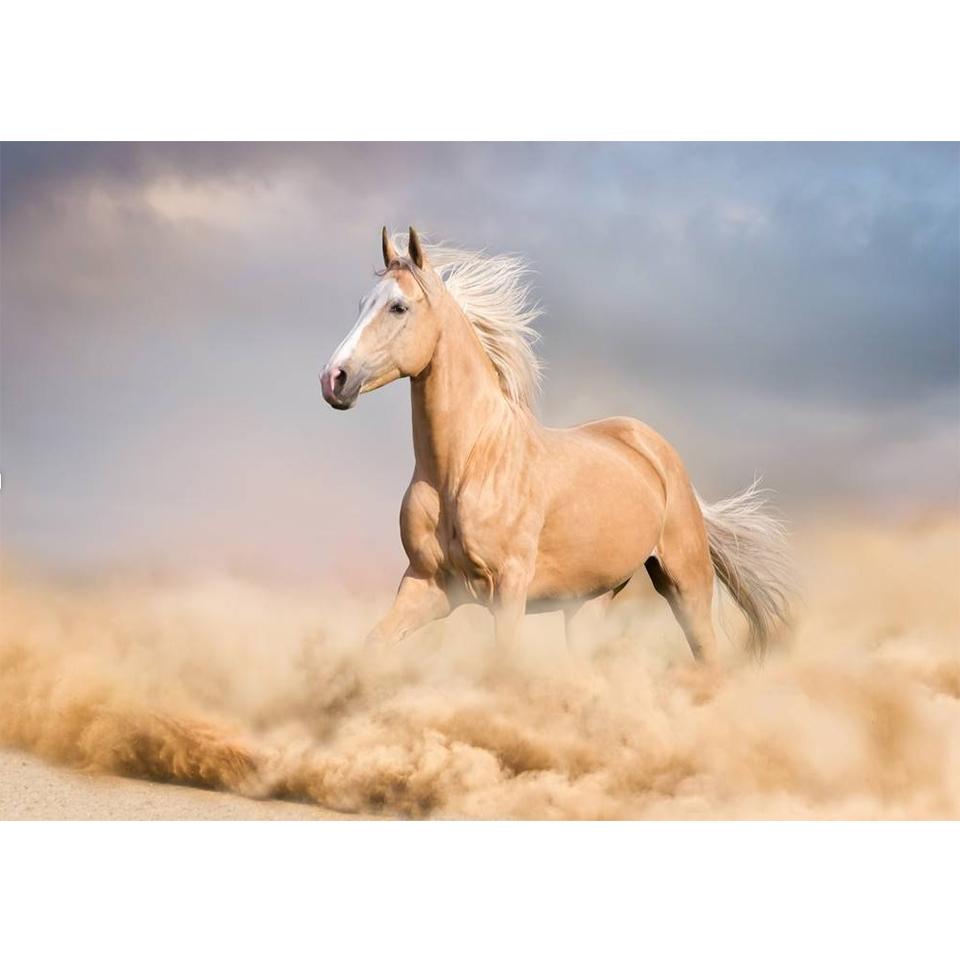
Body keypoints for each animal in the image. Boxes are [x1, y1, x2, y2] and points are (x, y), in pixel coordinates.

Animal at [320, 226, 790, 662]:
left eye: (398, 306)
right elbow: (375, 643)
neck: (464, 466)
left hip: (685, 583)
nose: (333, 379)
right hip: (587, 602)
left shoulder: (508, 587)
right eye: (362, 304)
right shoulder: (427, 585)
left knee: (706, 654)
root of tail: (657, 452)